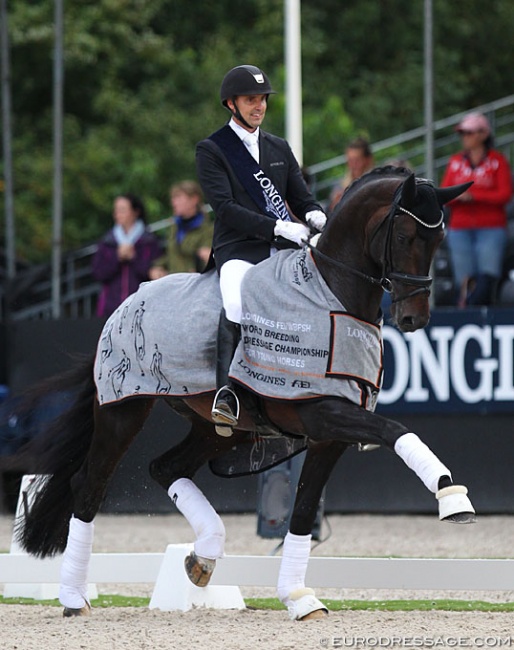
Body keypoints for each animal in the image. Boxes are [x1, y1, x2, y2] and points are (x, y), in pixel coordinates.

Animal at [13, 166, 476, 616]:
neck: (329, 293)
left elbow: (303, 512)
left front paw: (299, 598)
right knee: (89, 483)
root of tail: (129, 301)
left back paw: (203, 555)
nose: (414, 317)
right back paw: (74, 598)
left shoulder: (329, 435)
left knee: (165, 467)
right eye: (402, 236)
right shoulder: (321, 410)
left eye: (439, 239)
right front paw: (451, 496)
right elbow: (397, 430)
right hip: (122, 410)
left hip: (219, 429)